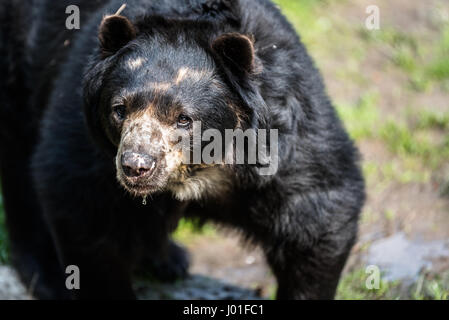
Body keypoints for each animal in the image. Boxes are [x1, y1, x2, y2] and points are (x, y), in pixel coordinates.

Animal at [0, 0, 364, 300]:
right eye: (119, 109)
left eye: (184, 119)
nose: (136, 165)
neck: (201, 171)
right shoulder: (87, 142)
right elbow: (80, 205)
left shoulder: (283, 136)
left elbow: (317, 209)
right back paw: (47, 277)